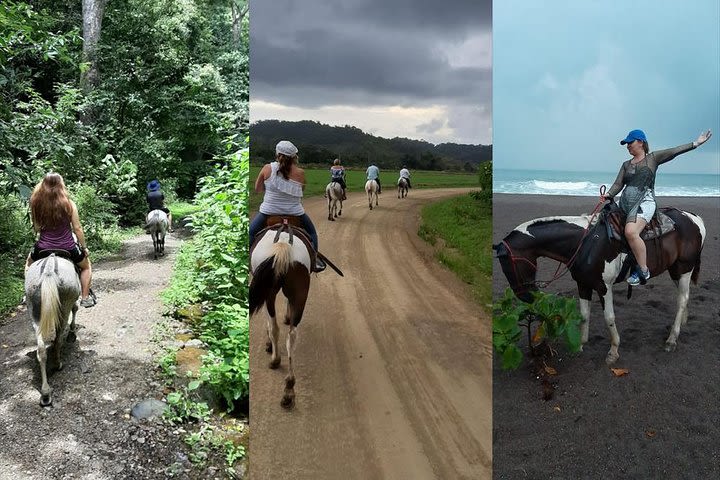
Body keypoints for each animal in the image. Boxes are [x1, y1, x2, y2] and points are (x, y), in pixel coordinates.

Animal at [24, 255, 80, 404]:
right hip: (65, 303)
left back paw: (45, 392)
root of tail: (48, 271)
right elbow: (76, 308)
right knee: (58, 339)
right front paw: (72, 333)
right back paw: (57, 364)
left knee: (41, 350)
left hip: (34, 309)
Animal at [492, 202, 704, 364]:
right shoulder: (583, 284)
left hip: (684, 269)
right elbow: (584, 315)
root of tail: (694, 218)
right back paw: (682, 323)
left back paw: (672, 339)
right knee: (684, 297)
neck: (584, 243)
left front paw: (613, 351)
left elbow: (609, 318)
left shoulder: (604, 287)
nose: (526, 296)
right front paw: (580, 344)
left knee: (681, 300)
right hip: (676, 271)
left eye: (508, 265)